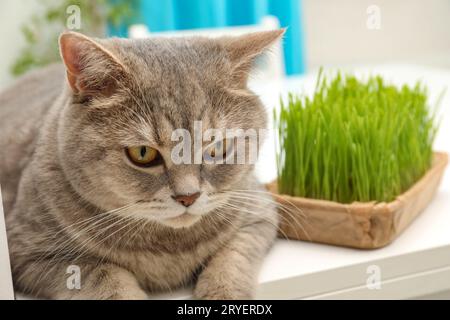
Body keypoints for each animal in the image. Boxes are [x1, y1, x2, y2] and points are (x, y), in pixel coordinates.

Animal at [0, 30, 282, 300]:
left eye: (216, 149)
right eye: (143, 153)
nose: (188, 196)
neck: (170, 247)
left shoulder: (258, 214)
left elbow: (232, 258)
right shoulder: (34, 252)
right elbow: (104, 276)